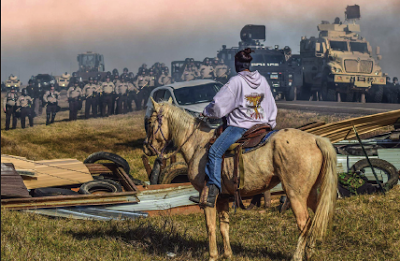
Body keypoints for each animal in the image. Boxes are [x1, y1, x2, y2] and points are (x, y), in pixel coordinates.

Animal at [144, 98, 338, 258]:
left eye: (150, 122)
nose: (147, 147)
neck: (198, 143)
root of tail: (316, 139)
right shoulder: (222, 197)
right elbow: (224, 226)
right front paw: (228, 254)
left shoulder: (206, 196)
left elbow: (210, 227)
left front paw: (213, 256)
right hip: (310, 193)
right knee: (318, 217)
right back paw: (310, 252)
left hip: (295, 194)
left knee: (304, 223)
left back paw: (297, 256)